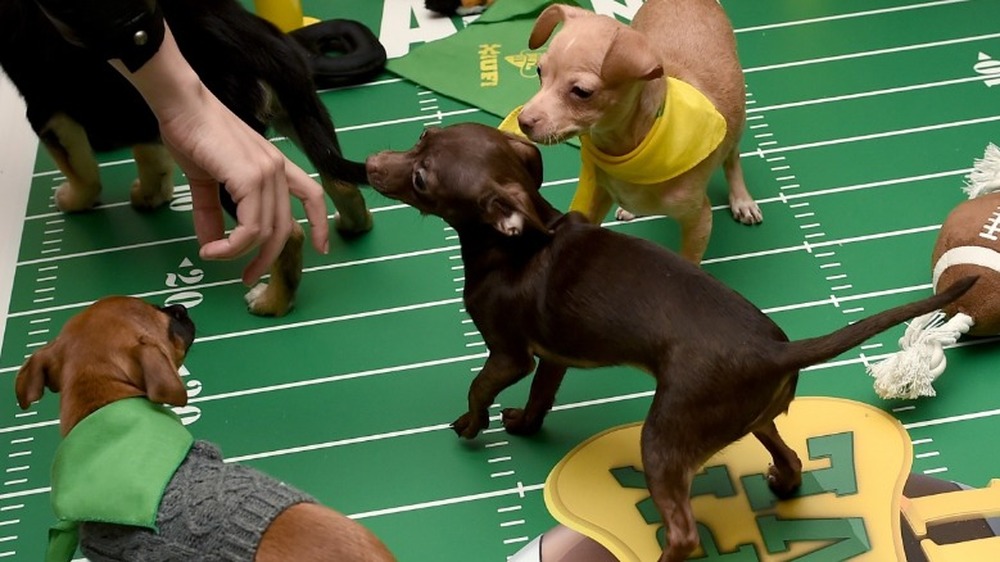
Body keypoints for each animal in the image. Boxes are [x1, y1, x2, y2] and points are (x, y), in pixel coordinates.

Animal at [0, 0, 376, 316]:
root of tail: (257, 46)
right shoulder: (150, 110)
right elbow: (150, 158)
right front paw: (150, 195)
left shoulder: (47, 112)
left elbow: (81, 171)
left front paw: (73, 199)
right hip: (305, 114)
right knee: (341, 182)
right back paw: (352, 226)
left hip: (234, 172)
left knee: (289, 234)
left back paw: (271, 303)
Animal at [366, 122, 976, 560]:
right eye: (422, 136)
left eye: (422, 179)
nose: (368, 164)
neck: (515, 243)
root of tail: (776, 350)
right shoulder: (554, 357)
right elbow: (541, 397)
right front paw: (523, 425)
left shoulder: (508, 354)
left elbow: (478, 388)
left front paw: (471, 426)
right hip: (750, 418)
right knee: (790, 459)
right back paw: (780, 482)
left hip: (662, 440)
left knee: (683, 533)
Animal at [520, 0, 760, 264]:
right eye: (539, 71)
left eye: (582, 92)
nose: (522, 121)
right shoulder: (596, 196)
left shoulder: (700, 220)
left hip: (737, 120)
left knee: (732, 157)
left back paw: (742, 199)